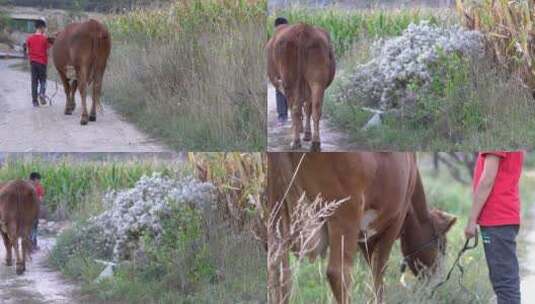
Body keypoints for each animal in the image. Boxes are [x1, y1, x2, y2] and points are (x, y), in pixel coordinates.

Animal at [266, 23, 336, 151]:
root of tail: (302, 28)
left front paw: (301, 129)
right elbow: (308, 108)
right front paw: (306, 132)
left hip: (290, 81)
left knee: (295, 109)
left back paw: (296, 141)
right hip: (317, 81)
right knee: (315, 109)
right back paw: (315, 142)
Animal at [268, 153, 456, 302]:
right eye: (441, 245)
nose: (439, 280)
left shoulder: (364, 236)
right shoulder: (394, 222)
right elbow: (379, 272)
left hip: (277, 211)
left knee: (280, 271)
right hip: (344, 214)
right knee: (338, 273)